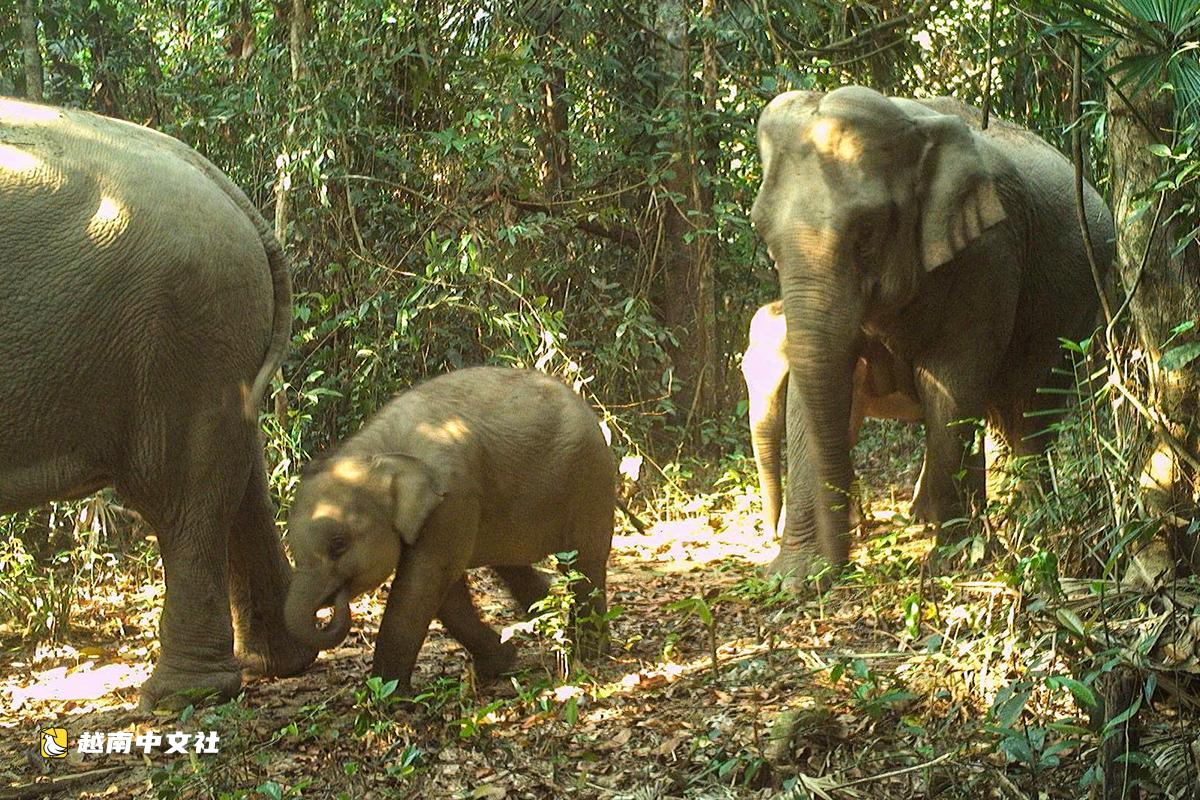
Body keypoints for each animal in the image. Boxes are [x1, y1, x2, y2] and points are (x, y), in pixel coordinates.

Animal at [0, 97, 315, 707]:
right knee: (240, 478)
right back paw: (278, 662)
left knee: (178, 493)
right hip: (213, 341)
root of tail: (222, 185)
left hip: (180, 328)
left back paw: (179, 696)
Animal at [283, 366, 615, 690]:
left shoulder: (452, 497)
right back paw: (550, 622)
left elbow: (425, 582)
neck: (378, 453)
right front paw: (500, 663)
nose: (335, 600)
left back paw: (588, 651)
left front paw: (388, 696)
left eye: (338, 544)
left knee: (586, 561)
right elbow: (444, 591)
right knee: (512, 566)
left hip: (590, 478)